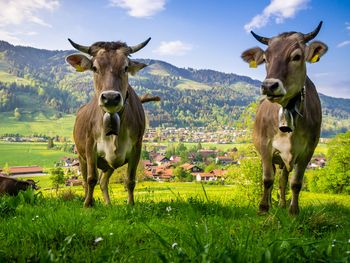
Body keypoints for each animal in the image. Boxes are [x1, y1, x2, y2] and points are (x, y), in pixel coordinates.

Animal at [66, 37, 153, 207]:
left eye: (125, 67)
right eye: (94, 68)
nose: (111, 97)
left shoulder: (137, 147)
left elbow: (130, 180)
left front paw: (131, 205)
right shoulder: (90, 145)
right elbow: (91, 178)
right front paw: (88, 205)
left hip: (108, 164)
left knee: (103, 181)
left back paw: (108, 204)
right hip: (80, 155)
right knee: (87, 181)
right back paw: (89, 200)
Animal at [241, 21, 328, 216]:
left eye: (296, 56)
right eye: (265, 59)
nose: (268, 86)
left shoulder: (308, 150)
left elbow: (295, 183)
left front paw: (293, 210)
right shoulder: (265, 146)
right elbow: (267, 179)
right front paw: (263, 208)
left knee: (283, 179)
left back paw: (281, 204)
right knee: (274, 177)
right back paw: (271, 204)